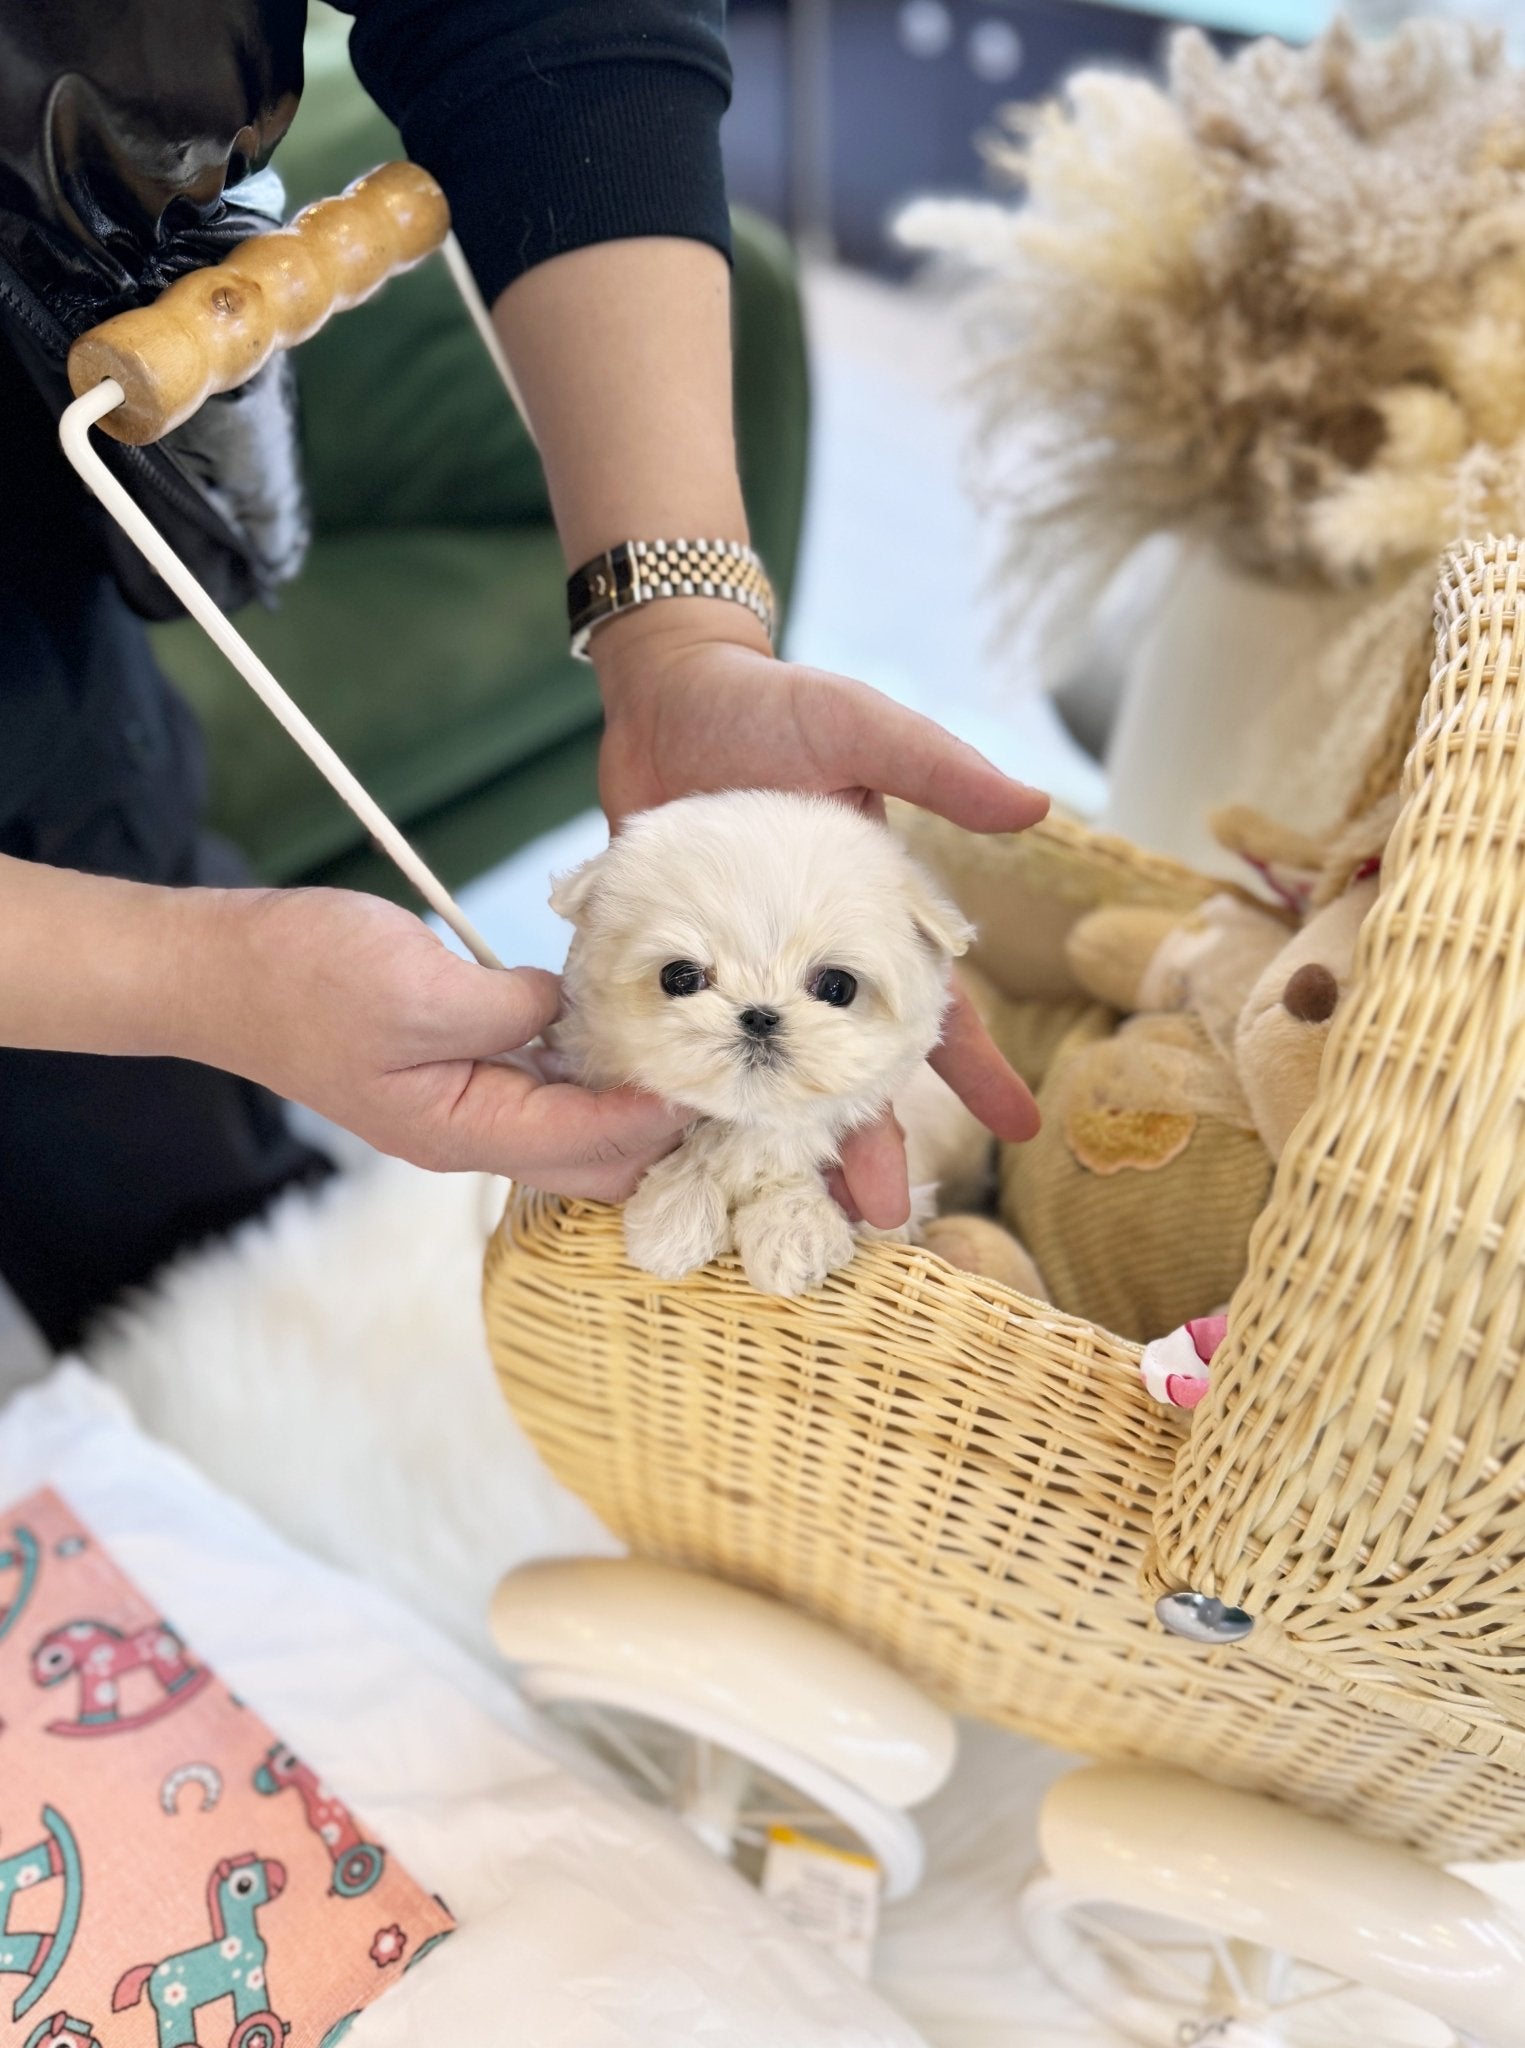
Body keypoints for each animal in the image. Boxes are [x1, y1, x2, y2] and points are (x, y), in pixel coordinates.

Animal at [548, 786, 974, 1294]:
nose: (759, 1016)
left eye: (837, 987)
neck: (754, 1118)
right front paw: (674, 1220)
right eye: (680, 977)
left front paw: (795, 1232)